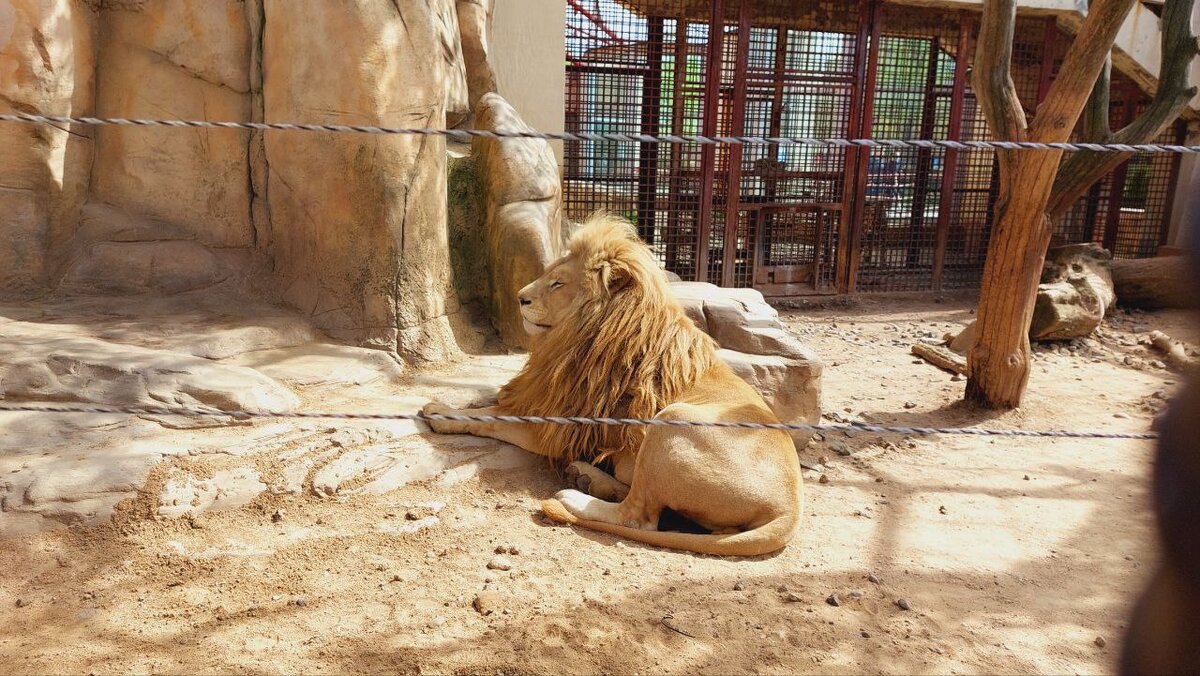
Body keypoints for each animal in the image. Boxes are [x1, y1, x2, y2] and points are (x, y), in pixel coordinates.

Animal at [422, 211, 806, 554]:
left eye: (558, 283)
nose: (520, 298)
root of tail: (788, 509)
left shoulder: (556, 426)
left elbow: (490, 416)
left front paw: (440, 411)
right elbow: (491, 402)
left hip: (673, 419)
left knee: (638, 517)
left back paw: (576, 495)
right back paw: (588, 477)